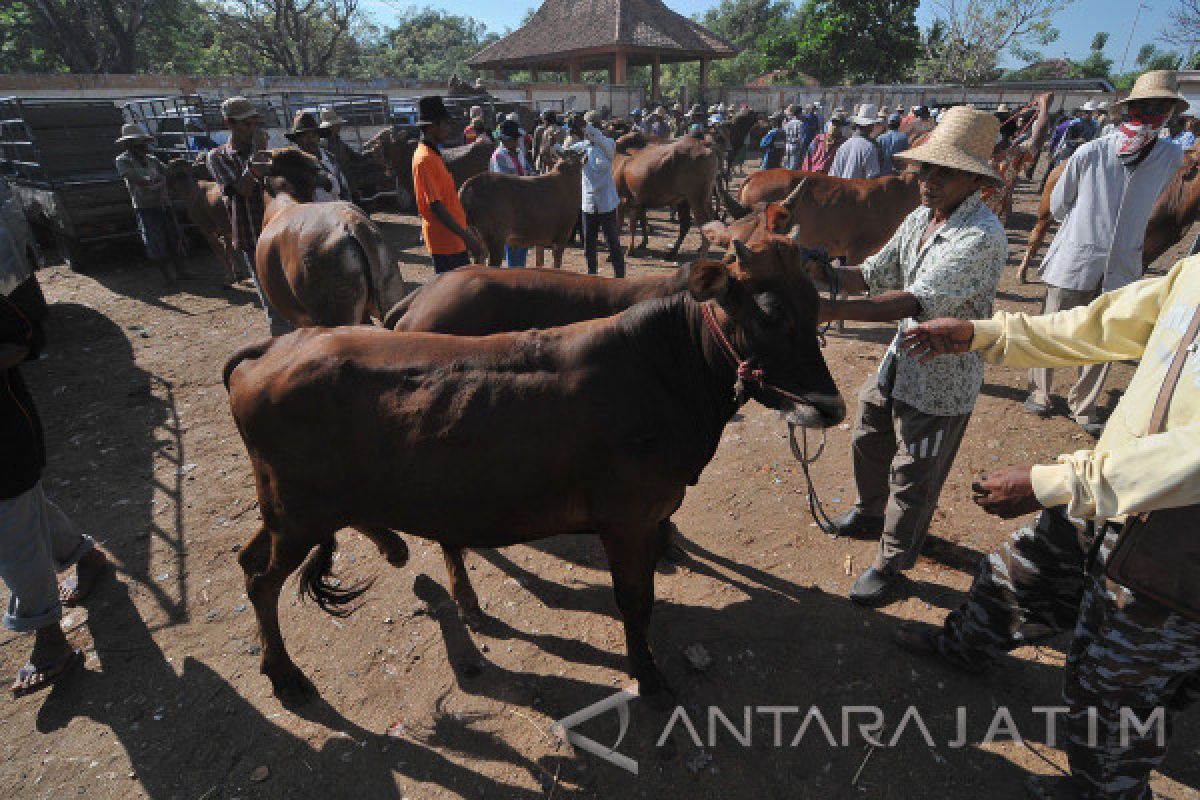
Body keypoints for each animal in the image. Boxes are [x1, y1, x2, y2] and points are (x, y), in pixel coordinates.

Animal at [165, 155, 237, 284]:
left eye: (168, 169)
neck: (191, 190)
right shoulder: (224, 229)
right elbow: (229, 248)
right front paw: (235, 274)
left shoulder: (206, 228)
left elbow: (219, 250)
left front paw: (229, 277)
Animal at [225, 232, 844, 705]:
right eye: (769, 313)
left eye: (816, 307)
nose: (830, 407)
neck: (666, 372)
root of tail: (274, 349)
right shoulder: (629, 520)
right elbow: (635, 602)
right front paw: (648, 677)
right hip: (299, 512)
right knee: (261, 582)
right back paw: (285, 674)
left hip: (287, 509)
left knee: (250, 558)